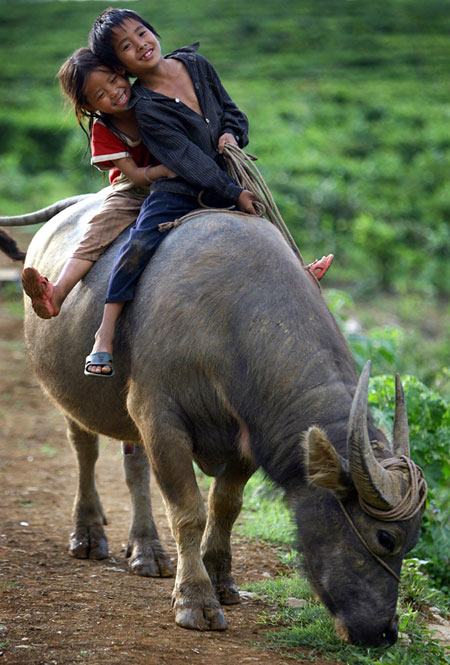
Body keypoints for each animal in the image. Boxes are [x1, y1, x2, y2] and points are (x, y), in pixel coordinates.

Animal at [2, 189, 426, 644]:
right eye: (385, 537)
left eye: (413, 541)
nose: (385, 632)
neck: (230, 322)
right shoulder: (160, 418)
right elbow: (188, 511)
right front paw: (196, 600)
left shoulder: (247, 434)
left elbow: (225, 505)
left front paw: (221, 580)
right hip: (69, 393)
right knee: (85, 451)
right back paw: (88, 534)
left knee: (135, 468)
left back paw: (146, 549)